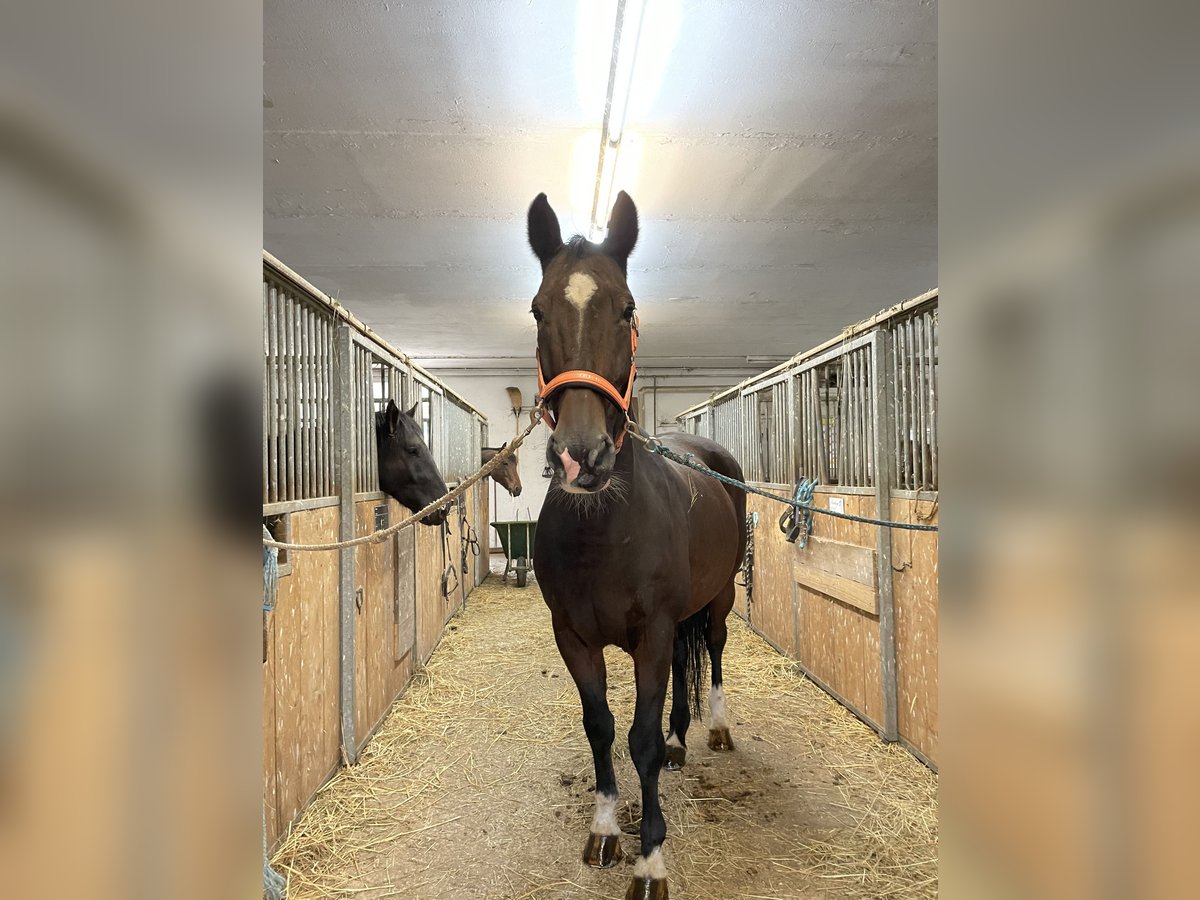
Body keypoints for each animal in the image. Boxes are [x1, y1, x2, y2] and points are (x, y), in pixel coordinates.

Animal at [528, 192, 744, 900]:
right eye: (538, 309)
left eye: (626, 309)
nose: (582, 456)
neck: (604, 530)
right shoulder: (574, 636)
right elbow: (601, 728)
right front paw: (605, 830)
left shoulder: (652, 631)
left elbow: (640, 738)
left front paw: (650, 861)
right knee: (684, 665)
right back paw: (682, 741)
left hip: (719, 600)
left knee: (713, 652)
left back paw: (714, 729)